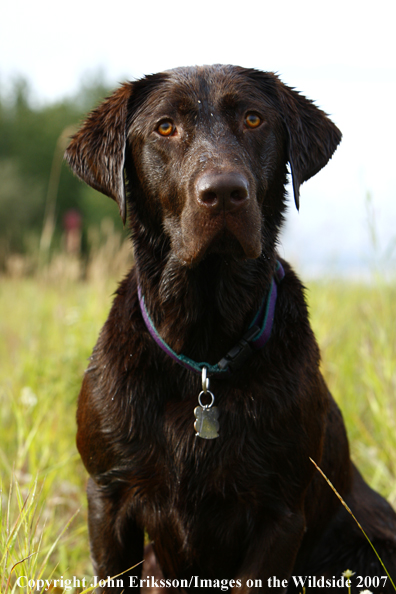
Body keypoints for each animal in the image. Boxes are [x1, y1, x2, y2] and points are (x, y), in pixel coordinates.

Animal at [65, 65, 396, 588]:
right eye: (165, 127)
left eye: (254, 119)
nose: (223, 191)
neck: (203, 350)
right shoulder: (107, 496)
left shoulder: (279, 512)